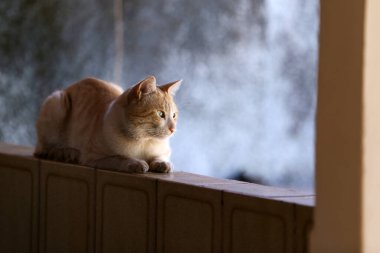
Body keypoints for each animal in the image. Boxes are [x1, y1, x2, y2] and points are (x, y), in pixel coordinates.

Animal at [34, 76, 181, 173]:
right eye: (161, 114)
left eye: (174, 115)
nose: (173, 129)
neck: (144, 142)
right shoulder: (93, 157)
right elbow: (120, 158)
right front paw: (137, 163)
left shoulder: (164, 152)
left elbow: (161, 157)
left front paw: (163, 164)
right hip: (58, 101)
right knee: (45, 149)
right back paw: (68, 153)